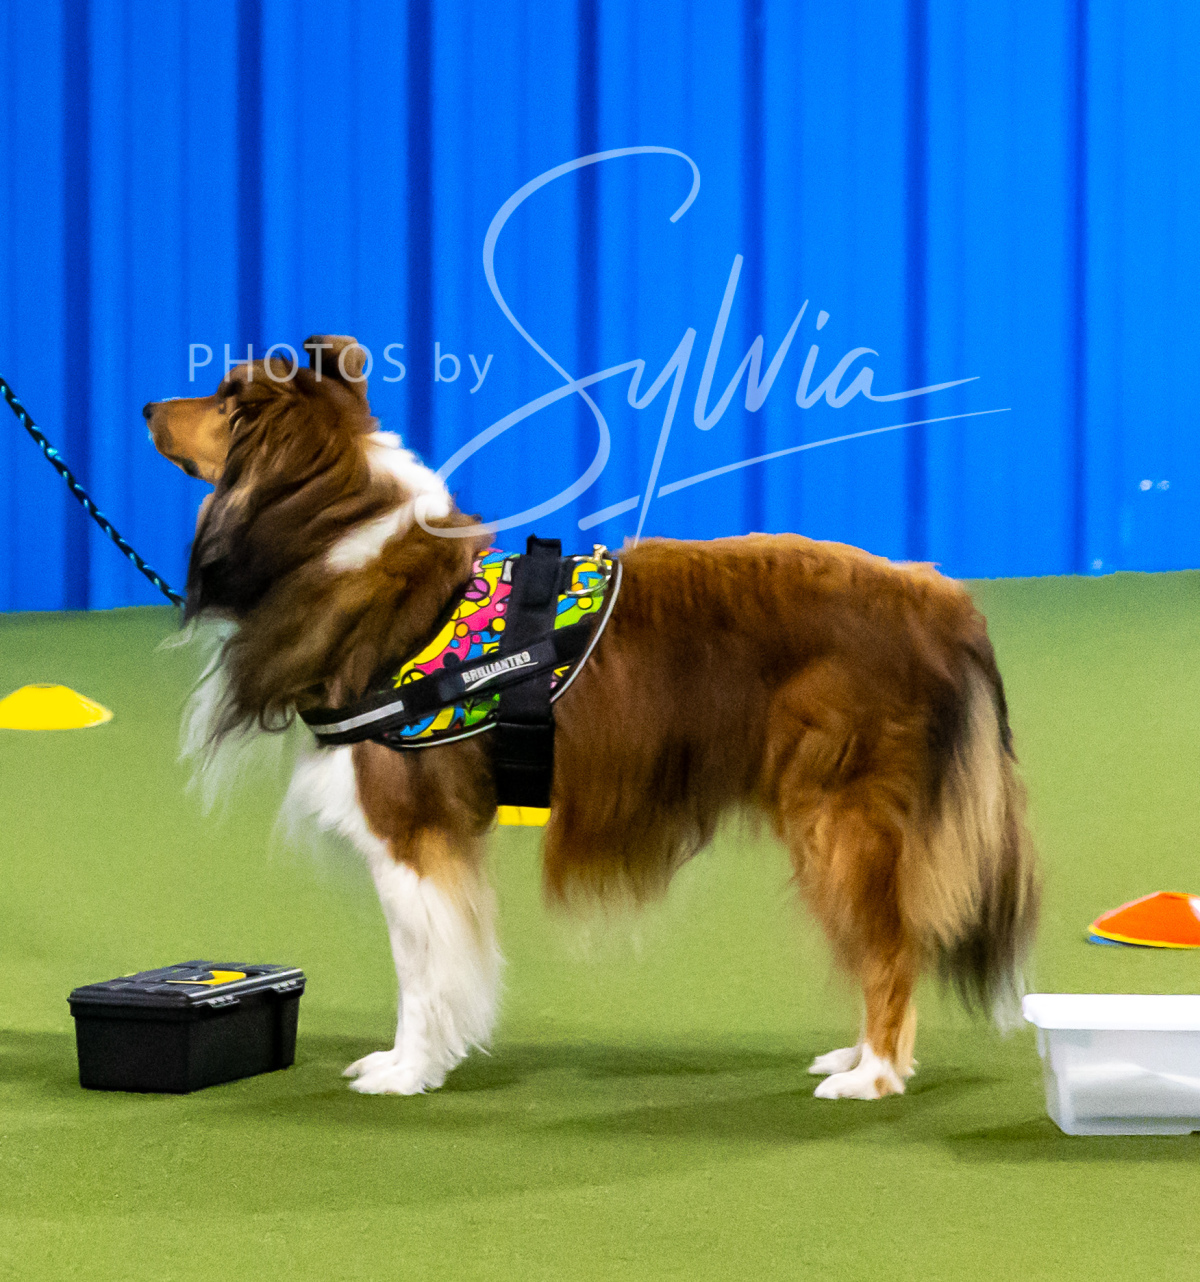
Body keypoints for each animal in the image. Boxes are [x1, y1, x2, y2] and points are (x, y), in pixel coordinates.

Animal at [145, 334, 1039, 1099]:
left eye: (225, 401)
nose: (148, 405)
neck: (338, 533)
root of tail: (933, 594)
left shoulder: (412, 834)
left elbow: (423, 970)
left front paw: (409, 1069)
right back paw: (854, 1055)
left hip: (839, 815)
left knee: (889, 947)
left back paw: (874, 1074)